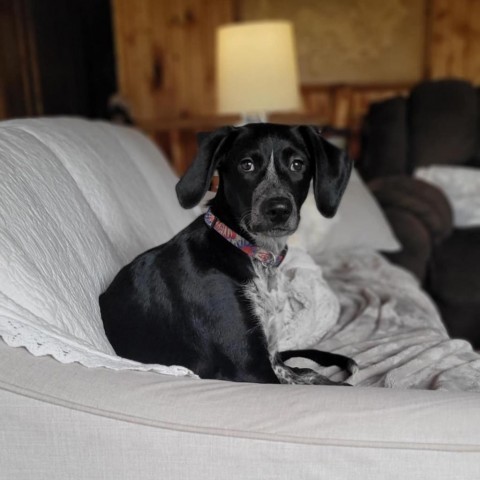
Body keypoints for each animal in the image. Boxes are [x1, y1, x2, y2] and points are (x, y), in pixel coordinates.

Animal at [99, 124, 356, 386]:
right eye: (246, 165)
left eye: (297, 164)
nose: (278, 209)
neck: (251, 252)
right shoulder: (251, 369)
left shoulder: (274, 360)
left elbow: (311, 374)